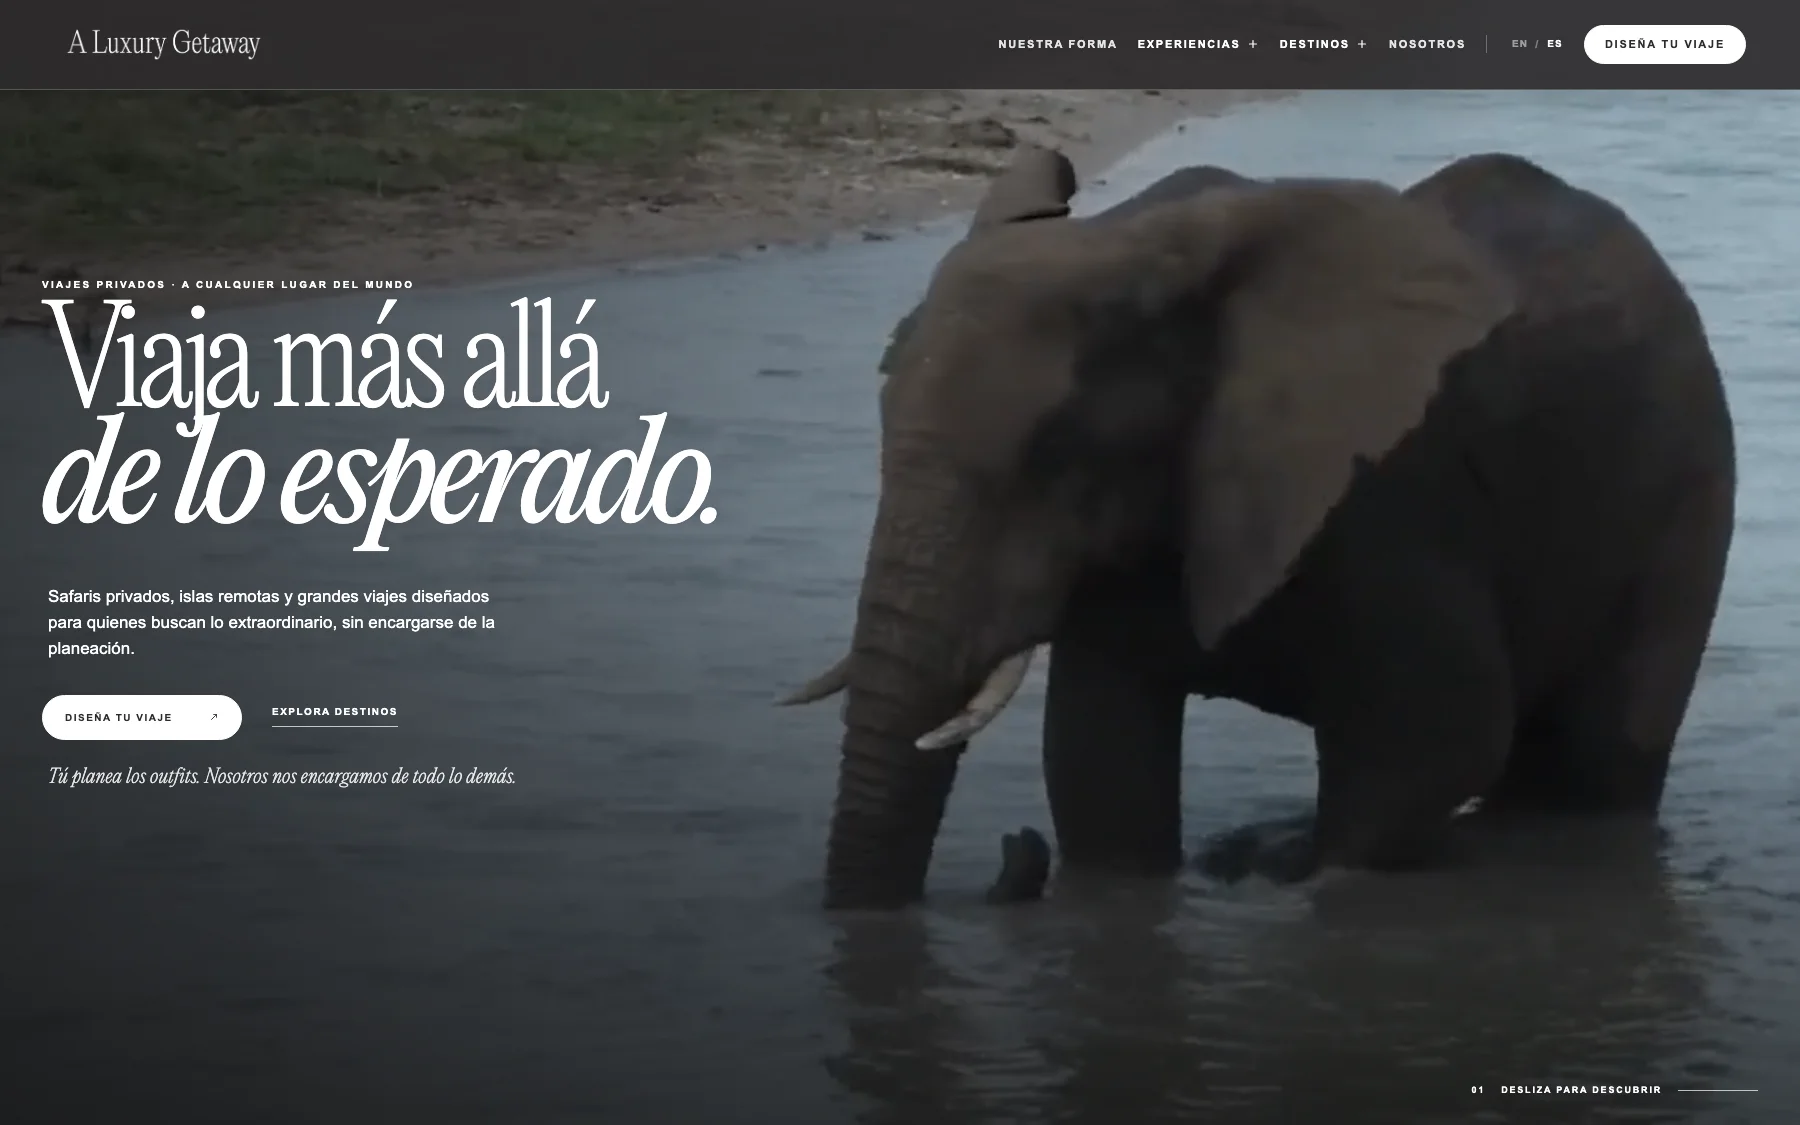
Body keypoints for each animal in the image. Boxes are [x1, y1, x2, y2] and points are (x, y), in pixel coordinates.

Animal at [780, 144, 1737, 911]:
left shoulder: (1394, 490)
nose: (1018, 853)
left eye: (1054, 454)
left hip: (1685, 489)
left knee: (1593, 765)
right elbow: (1098, 768)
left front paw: (1294, 874)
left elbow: (1439, 738)